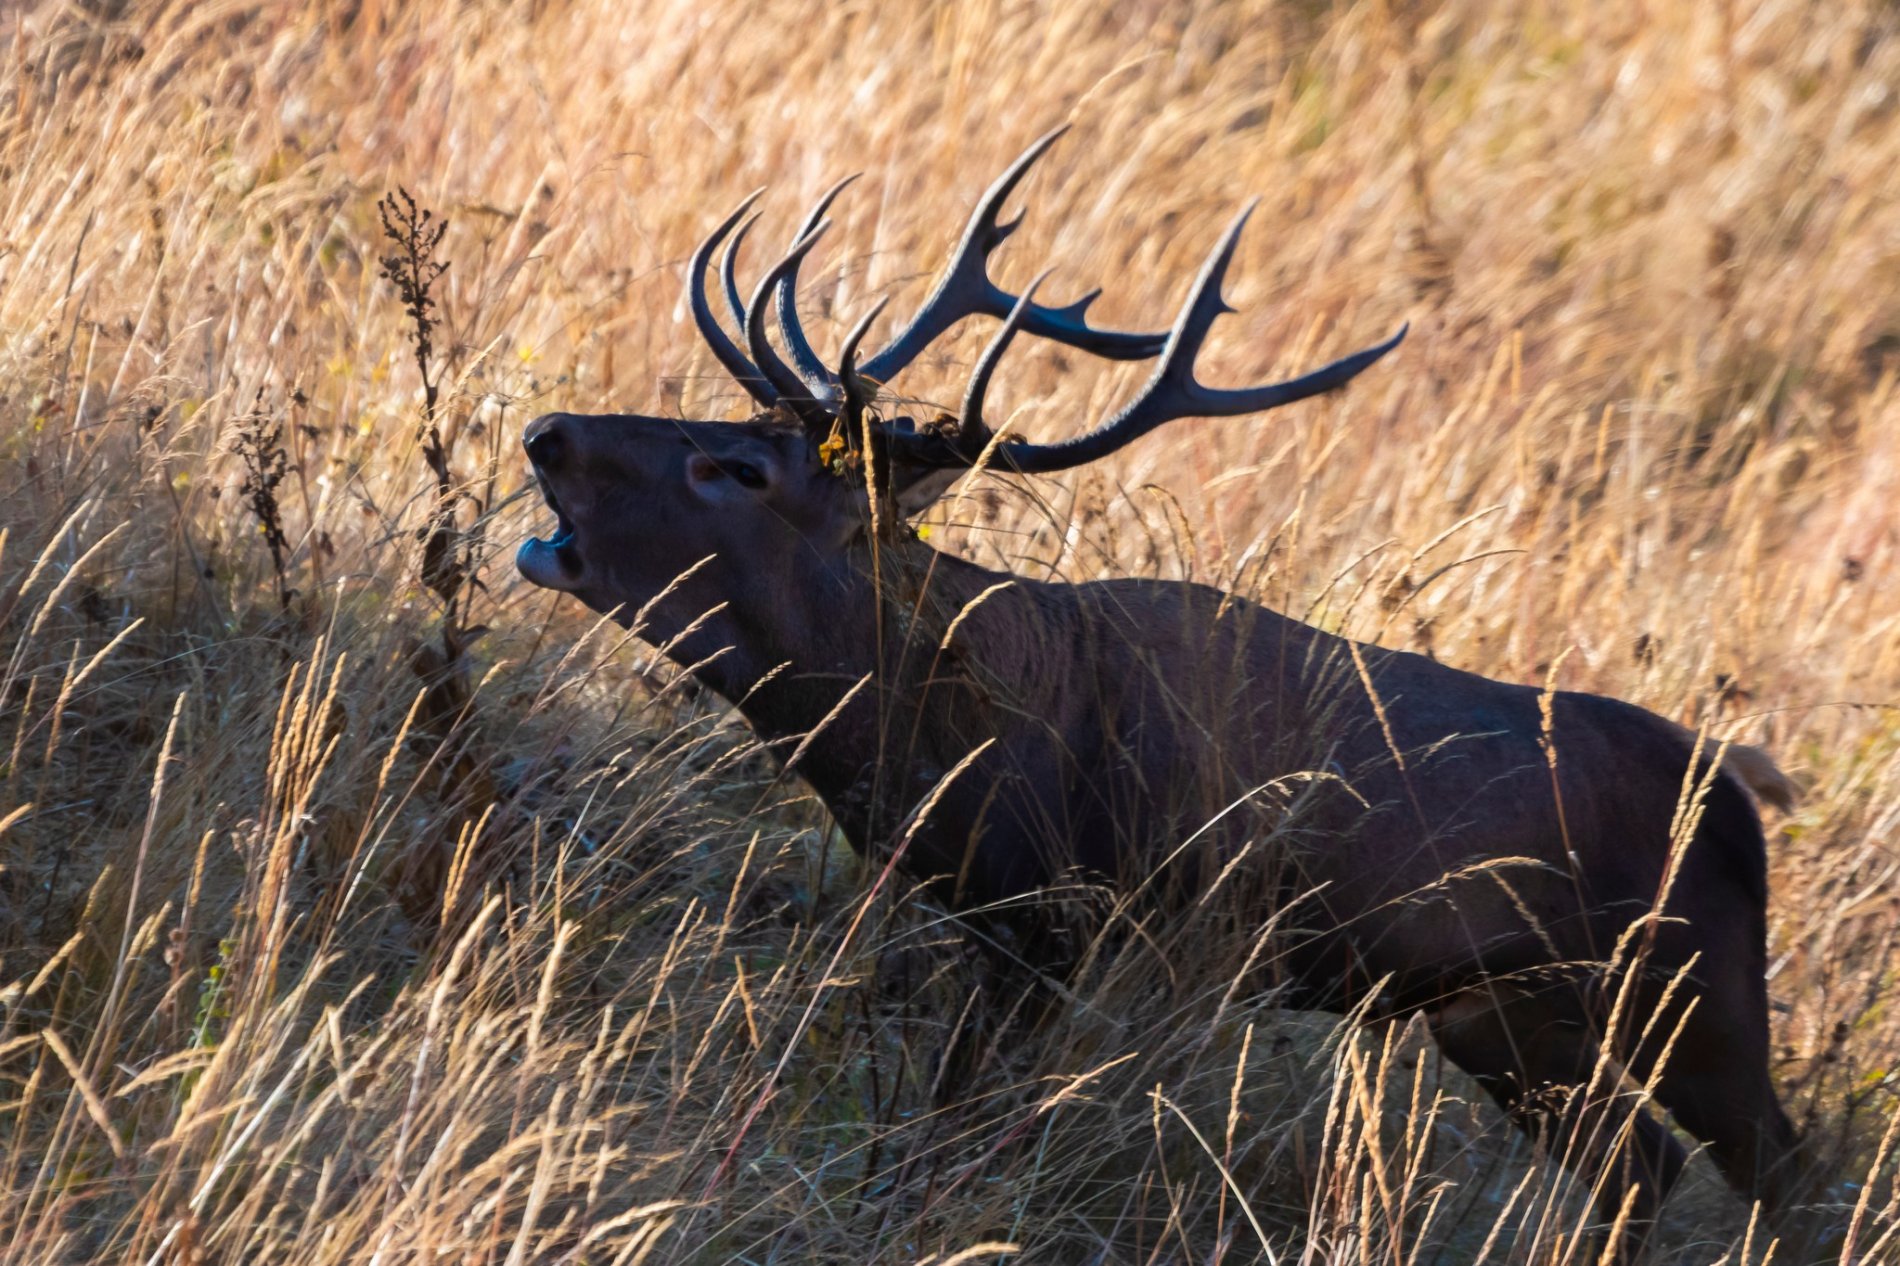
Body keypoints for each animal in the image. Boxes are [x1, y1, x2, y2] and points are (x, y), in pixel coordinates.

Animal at [516, 125, 1808, 1254]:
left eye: (738, 468)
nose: (547, 433)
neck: (949, 747)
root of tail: (1740, 797)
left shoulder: (1085, 920)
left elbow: (959, 1129)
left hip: (1692, 983)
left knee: (1781, 1169)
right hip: (1507, 1010)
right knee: (1640, 1165)